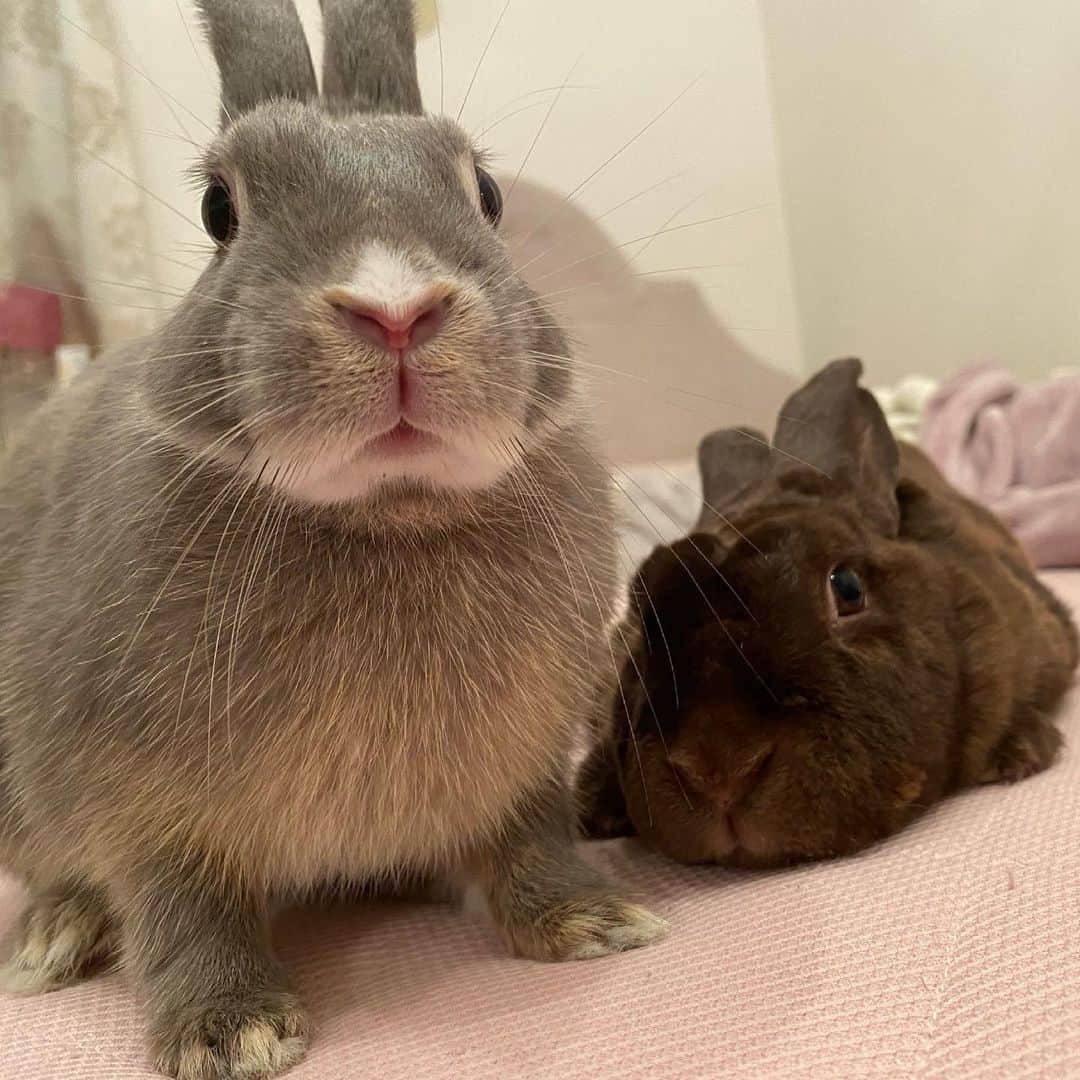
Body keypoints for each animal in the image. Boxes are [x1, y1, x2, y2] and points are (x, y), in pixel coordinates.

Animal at [0, 2, 667, 1076]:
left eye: (484, 193)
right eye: (218, 212)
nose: (396, 310)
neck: (387, 511)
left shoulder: (526, 767)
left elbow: (535, 843)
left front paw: (596, 924)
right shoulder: (146, 809)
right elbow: (183, 913)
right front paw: (230, 1034)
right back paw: (55, 940)